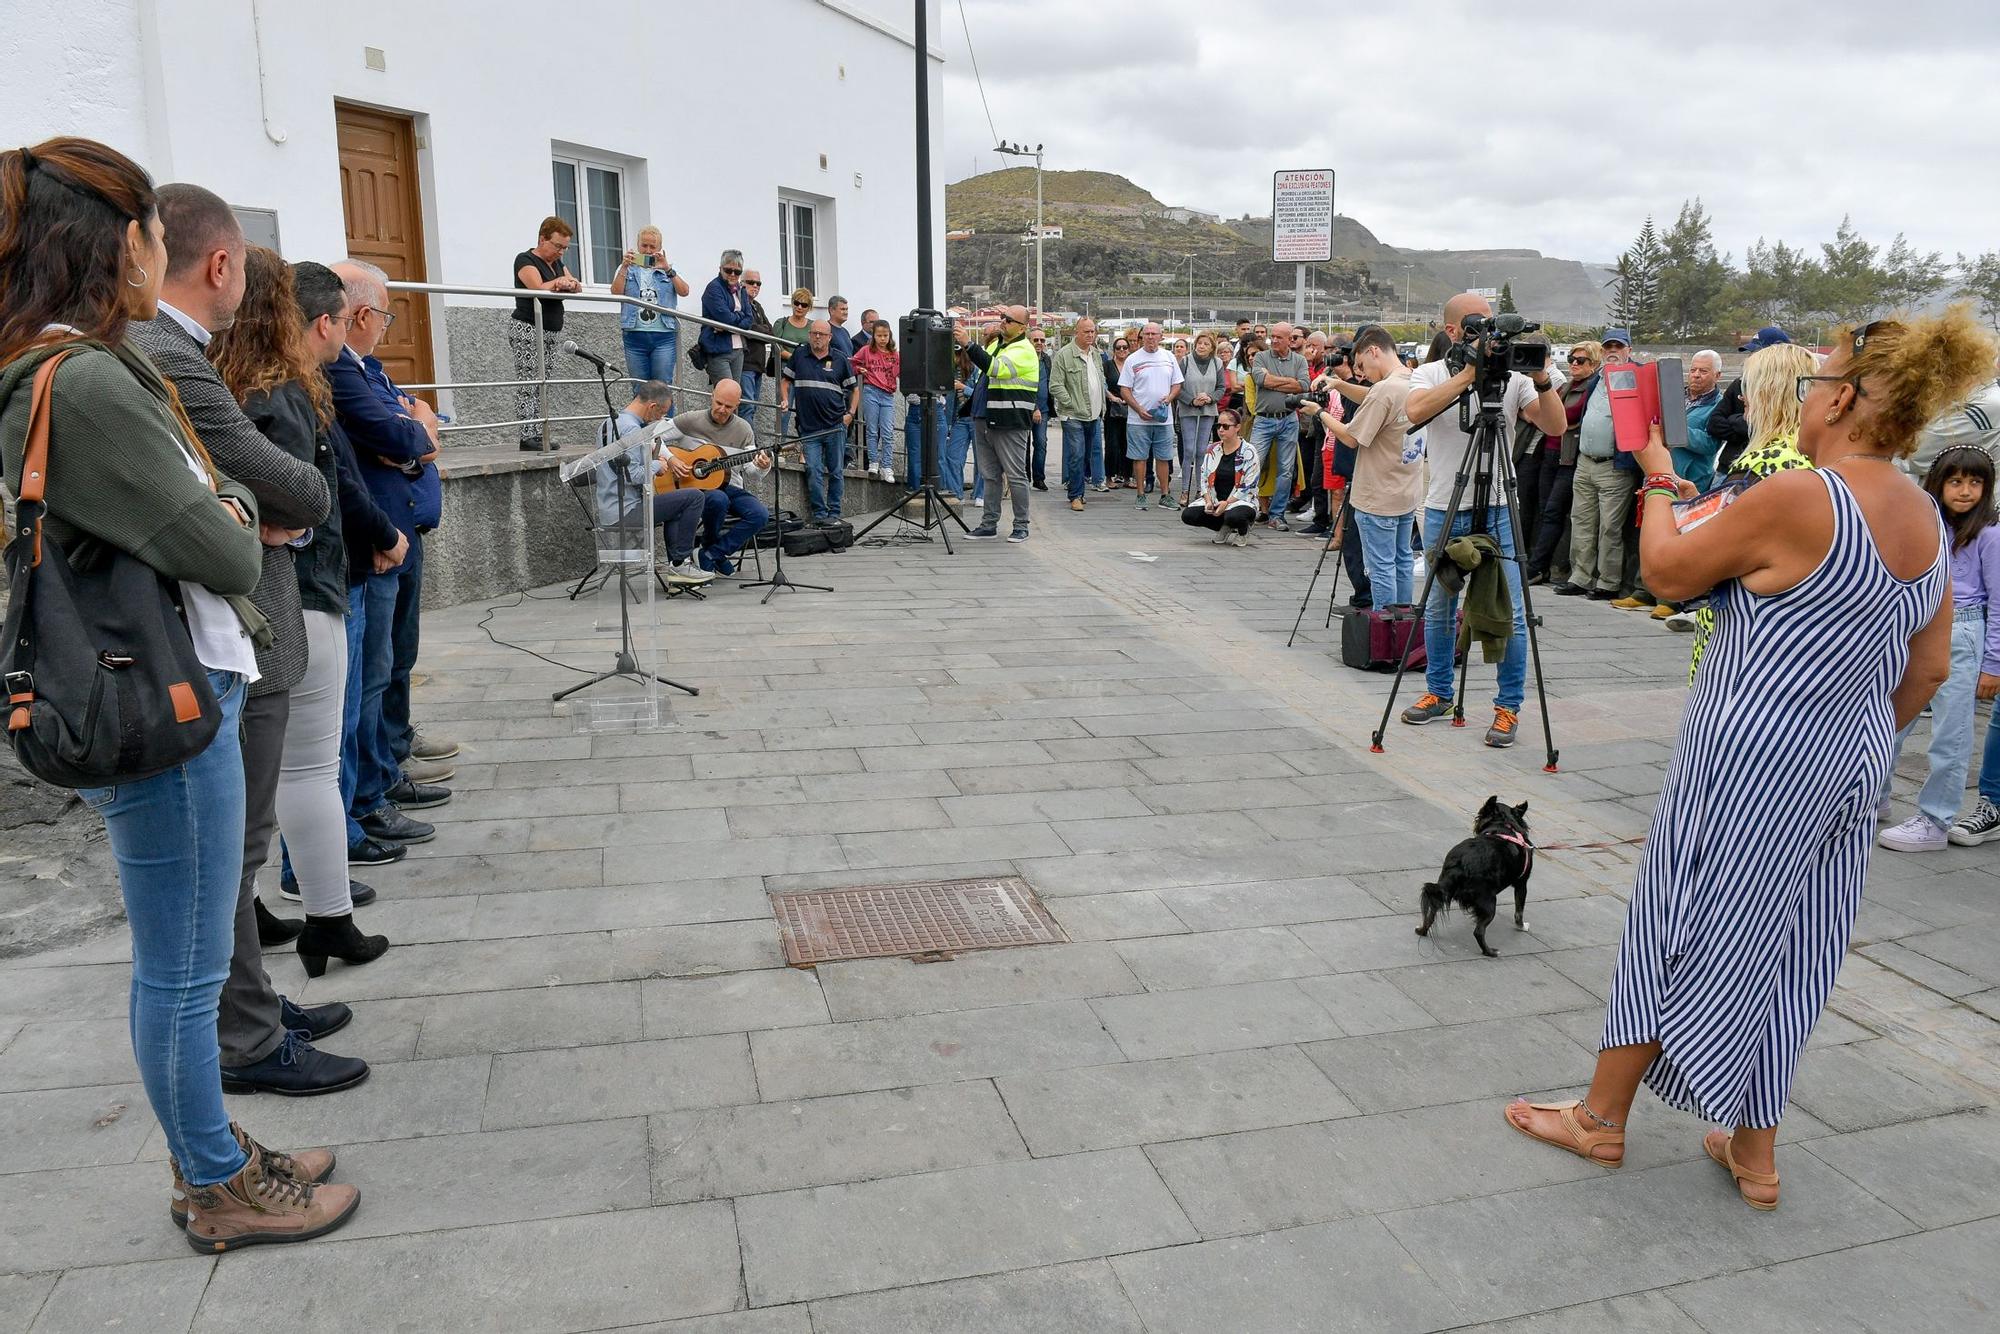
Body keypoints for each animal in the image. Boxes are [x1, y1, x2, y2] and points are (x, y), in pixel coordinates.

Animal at [1416, 792, 1536, 960]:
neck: (1505, 825)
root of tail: (1461, 864)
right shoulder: (1522, 884)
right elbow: (1519, 912)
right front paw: (1522, 927)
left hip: (1442, 890)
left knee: (1431, 913)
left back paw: (1422, 930)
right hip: (1489, 902)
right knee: (1479, 931)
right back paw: (1490, 952)